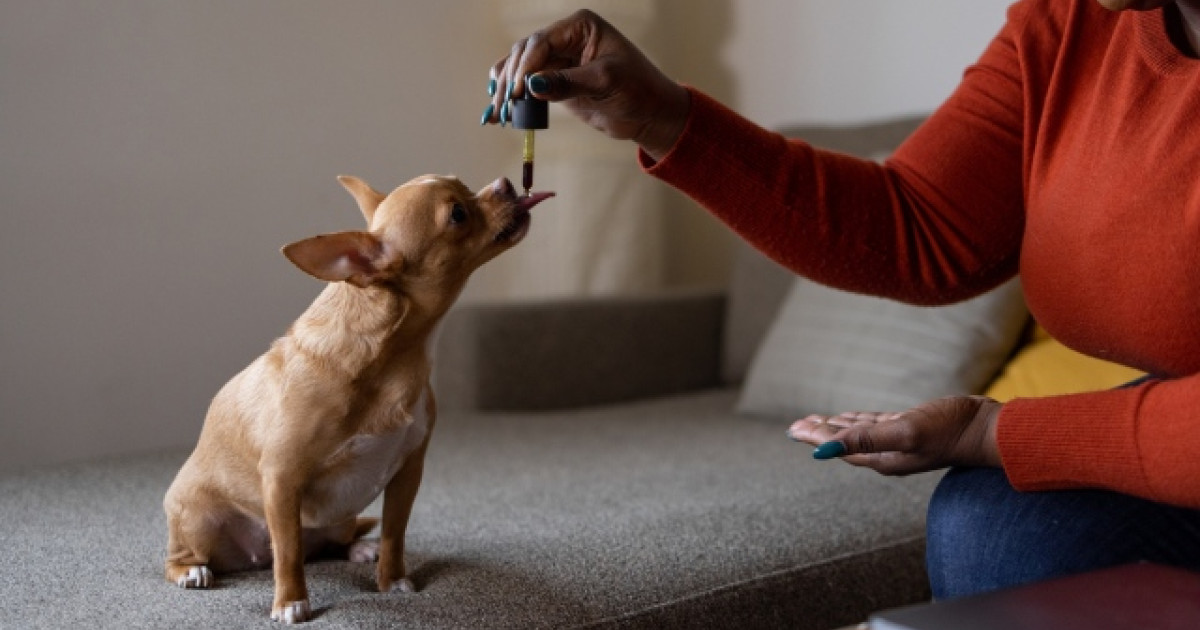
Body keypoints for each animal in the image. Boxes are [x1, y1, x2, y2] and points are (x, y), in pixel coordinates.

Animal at [163, 172, 552, 624]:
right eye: (457, 213)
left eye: (465, 186)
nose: (506, 182)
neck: (396, 358)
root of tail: (253, 558)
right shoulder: (281, 478)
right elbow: (289, 551)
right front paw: (291, 602)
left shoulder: (408, 473)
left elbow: (394, 532)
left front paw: (392, 579)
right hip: (197, 519)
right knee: (202, 556)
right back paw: (192, 571)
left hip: (339, 519)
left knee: (333, 541)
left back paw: (360, 548)